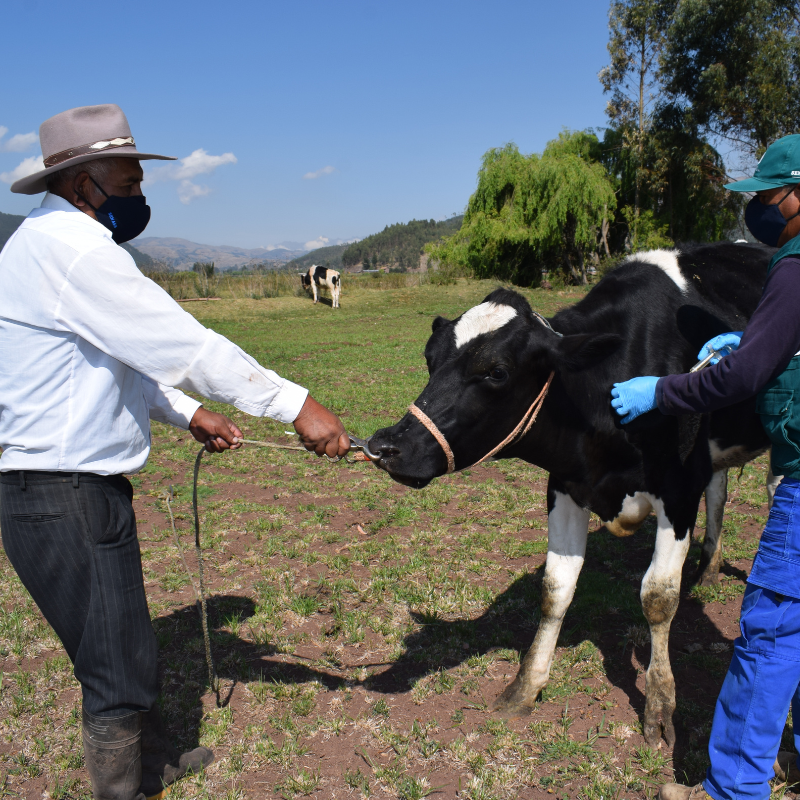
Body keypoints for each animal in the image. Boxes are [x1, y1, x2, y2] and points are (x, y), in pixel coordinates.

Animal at [366, 242, 775, 748]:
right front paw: (524, 687)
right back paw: (710, 567)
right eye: (429, 358)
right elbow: (555, 589)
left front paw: (660, 708)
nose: (387, 446)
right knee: (718, 490)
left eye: (496, 371)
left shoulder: (678, 490)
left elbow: (658, 598)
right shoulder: (564, 484)